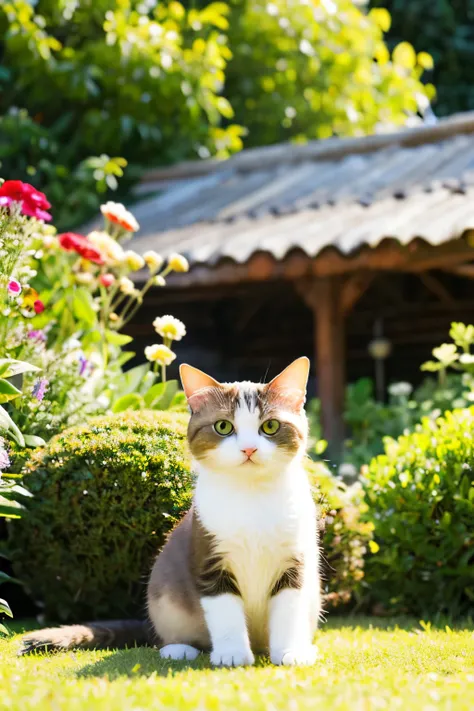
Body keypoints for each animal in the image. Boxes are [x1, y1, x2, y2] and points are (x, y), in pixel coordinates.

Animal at [20, 362, 320, 668]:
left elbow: (289, 607)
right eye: (223, 426)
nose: (249, 449)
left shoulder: (294, 558)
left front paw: (290, 652)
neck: (251, 494)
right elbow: (223, 609)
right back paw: (179, 649)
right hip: (164, 596)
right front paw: (232, 654)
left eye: (270, 426)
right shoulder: (207, 550)